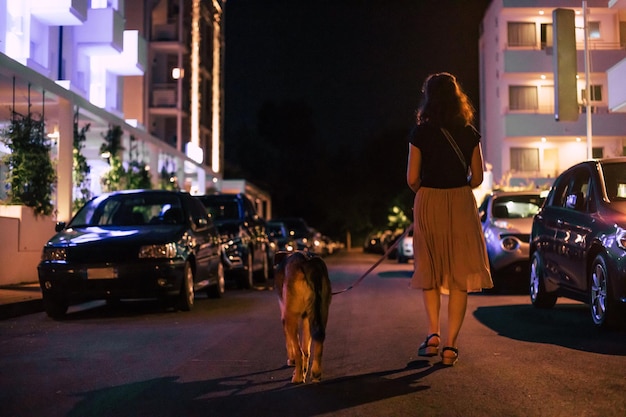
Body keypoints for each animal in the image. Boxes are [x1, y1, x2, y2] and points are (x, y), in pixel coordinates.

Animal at [272, 250, 332, 384]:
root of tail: (307, 261)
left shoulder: (285, 318)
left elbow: (290, 343)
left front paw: (292, 361)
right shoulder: (306, 318)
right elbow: (306, 350)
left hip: (291, 317)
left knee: (299, 351)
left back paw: (298, 377)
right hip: (321, 313)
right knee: (318, 341)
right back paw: (315, 373)